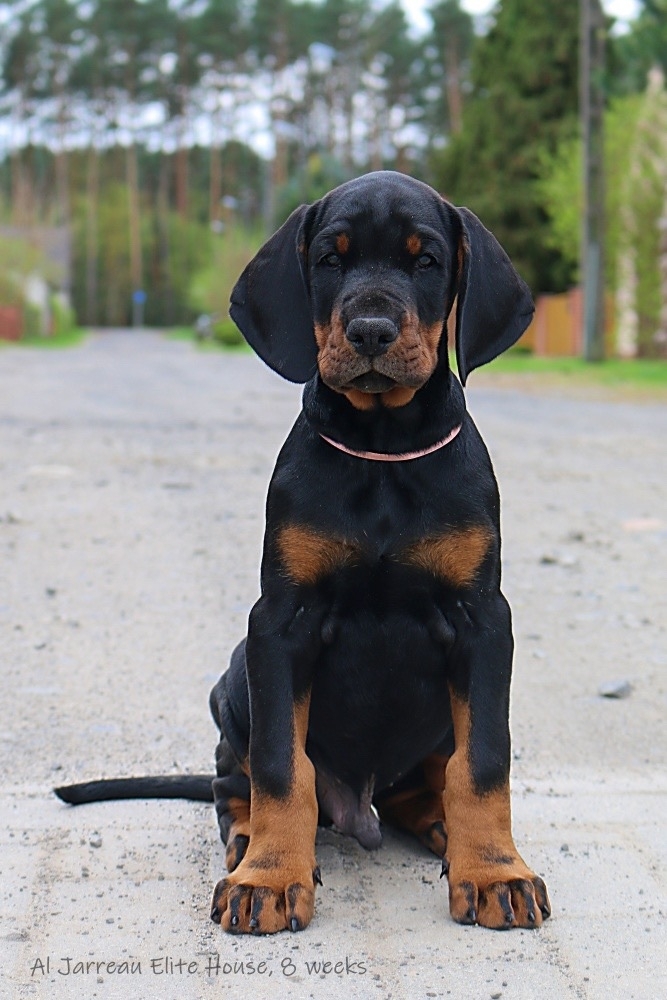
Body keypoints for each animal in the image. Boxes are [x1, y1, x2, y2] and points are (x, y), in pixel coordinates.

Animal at [57, 170, 550, 936]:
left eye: (427, 261)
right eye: (328, 259)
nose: (371, 331)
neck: (382, 450)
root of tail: (360, 803)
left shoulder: (482, 620)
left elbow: (484, 762)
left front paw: (497, 869)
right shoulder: (279, 624)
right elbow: (281, 768)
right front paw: (268, 877)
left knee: (426, 784)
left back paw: (444, 830)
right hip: (235, 679)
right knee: (236, 783)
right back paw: (244, 843)